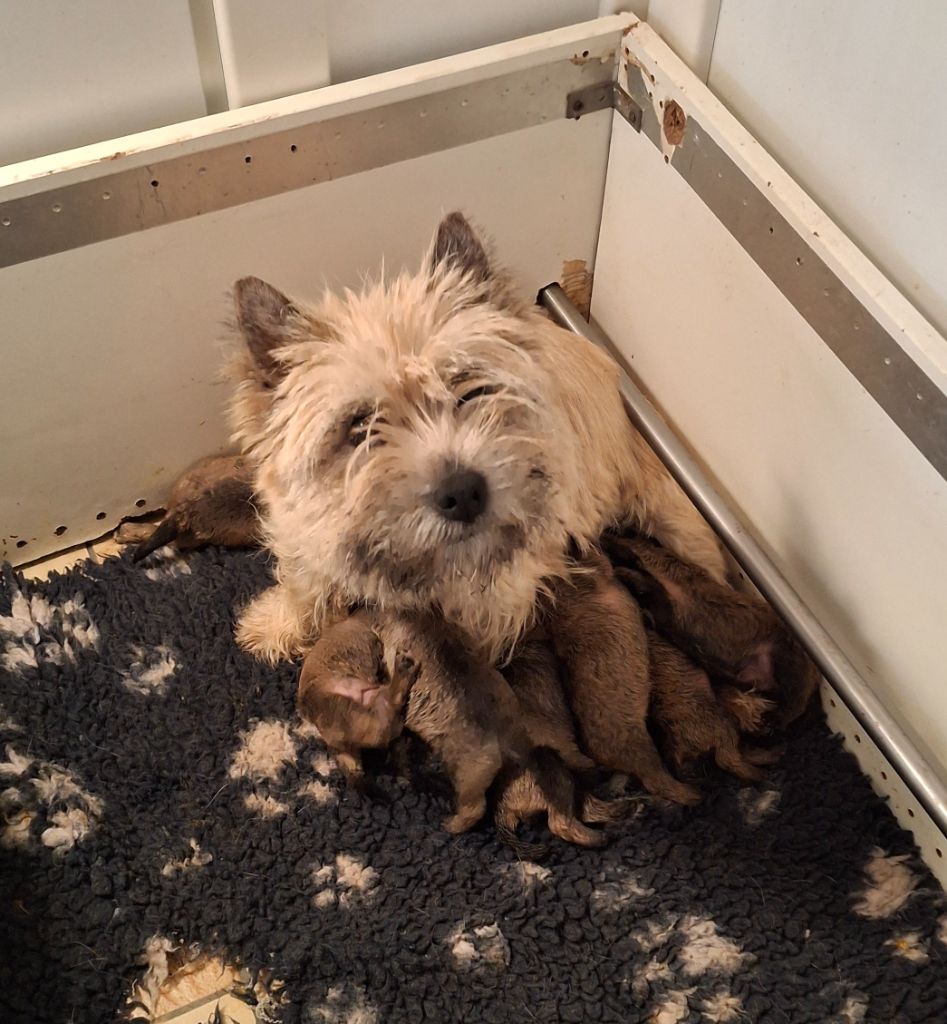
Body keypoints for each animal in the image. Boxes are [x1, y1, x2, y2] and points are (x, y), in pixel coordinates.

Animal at [225, 214, 720, 663]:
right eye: (359, 426)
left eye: (473, 390)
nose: (464, 492)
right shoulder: (303, 535)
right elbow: (304, 583)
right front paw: (276, 626)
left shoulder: (497, 597)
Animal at [606, 532, 819, 724]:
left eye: (627, 535)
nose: (608, 535)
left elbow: (646, 580)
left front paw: (625, 571)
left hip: (789, 663)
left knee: (792, 705)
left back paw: (770, 721)